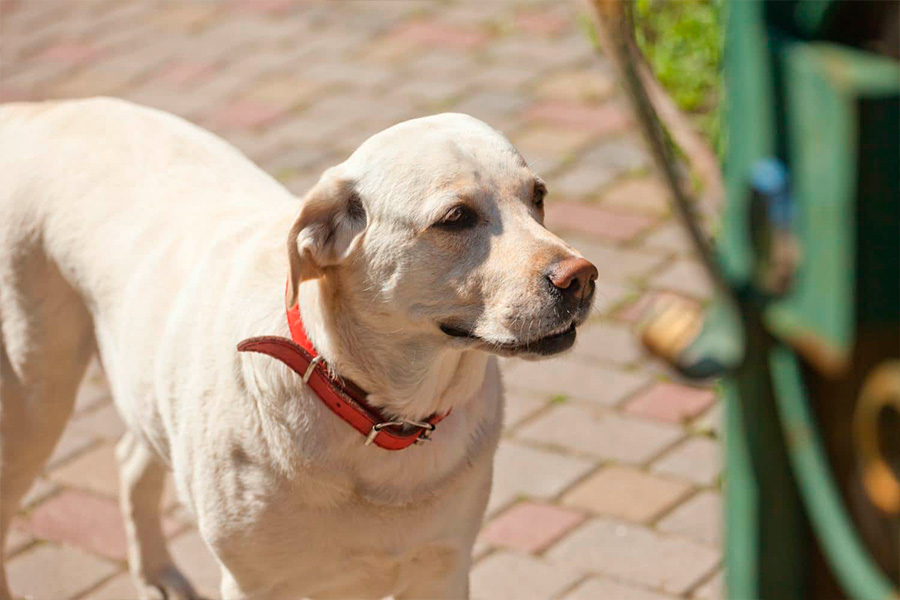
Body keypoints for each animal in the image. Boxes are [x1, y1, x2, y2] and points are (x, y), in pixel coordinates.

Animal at [0, 99, 596, 600]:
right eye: (456, 218)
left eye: (538, 197)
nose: (582, 278)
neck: (376, 414)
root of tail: (33, 111)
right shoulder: (253, 585)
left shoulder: (444, 568)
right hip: (33, 399)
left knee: (129, 459)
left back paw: (157, 573)